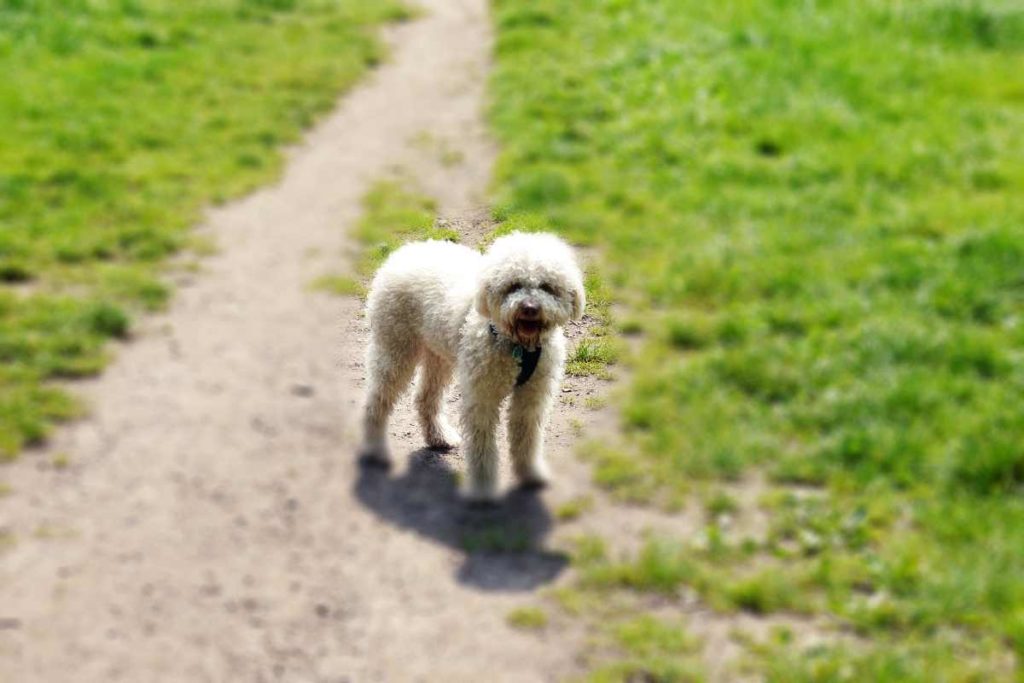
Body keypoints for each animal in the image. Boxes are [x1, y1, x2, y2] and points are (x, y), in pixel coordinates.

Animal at [358, 232, 585, 505]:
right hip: (395, 349)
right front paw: (483, 491)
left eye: (546, 287)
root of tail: (403, 252)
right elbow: (482, 447)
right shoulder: (482, 397)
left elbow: (527, 438)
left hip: (438, 356)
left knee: (425, 397)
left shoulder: (532, 397)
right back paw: (375, 450)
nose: (529, 308)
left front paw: (531, 474)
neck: (518, 348)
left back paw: (440, 437)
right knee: (376, 401)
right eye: (514, 285)